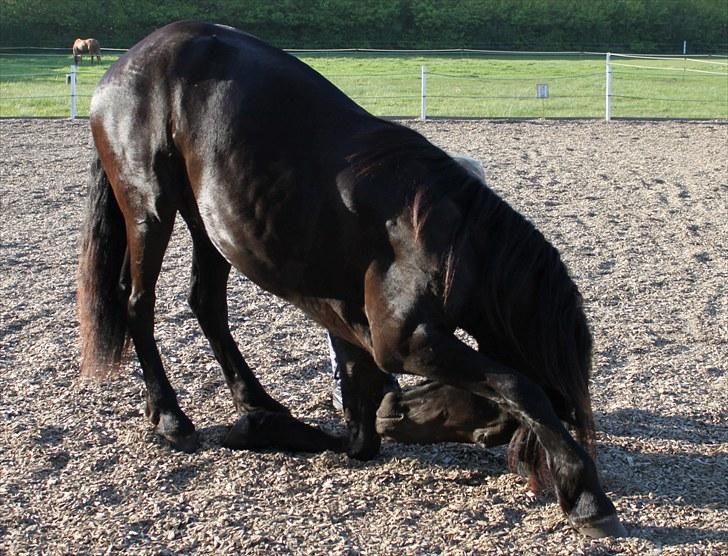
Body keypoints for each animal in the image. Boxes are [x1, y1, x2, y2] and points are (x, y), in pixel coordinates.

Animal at [78, 21, 624, 540]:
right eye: (492, 430)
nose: (396, 412)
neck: (449, 236)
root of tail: (128, 61)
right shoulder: (406, 341)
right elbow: (518, 385)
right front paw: (586, 495)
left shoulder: (353, 323)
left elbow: (360, 423)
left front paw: (274, 428)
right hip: (149, 207)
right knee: (137, 303)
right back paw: (171, 417)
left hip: (208, 224)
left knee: (206, 303)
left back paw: (257, 401)